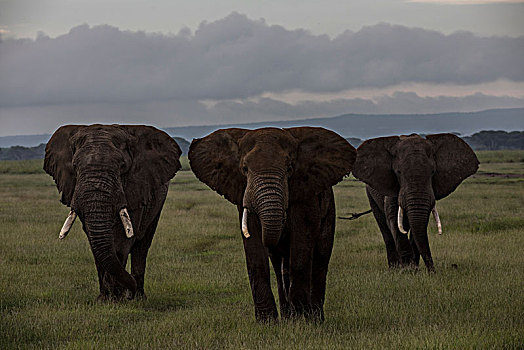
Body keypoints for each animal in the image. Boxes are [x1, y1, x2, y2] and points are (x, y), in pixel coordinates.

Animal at [43, 124, 182, 300]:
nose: (129, 292)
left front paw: (117, 299)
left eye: (122, 167)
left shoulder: (137, 188)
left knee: (142, 246)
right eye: (75, 167)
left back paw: (138, 297)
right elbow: (94, 241)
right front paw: (104, 299)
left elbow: (123, 241)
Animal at [188, 127, 356, 322]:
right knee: (278, 266)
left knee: (320, 258)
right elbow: (255, 252)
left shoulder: (306, 194)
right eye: (244, 169)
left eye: (289, 168)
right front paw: (267, 322)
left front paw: (301, 321)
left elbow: (301, 246)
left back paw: (315, 318)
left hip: (329, 212)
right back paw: (288, 316)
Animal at [352, 133, 478, 272]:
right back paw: (394, 268)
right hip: (371, 196)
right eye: (398, 172)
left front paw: (414, 269)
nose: (432, 271)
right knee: (385, 229)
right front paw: (408, 270)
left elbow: (419, 224)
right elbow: (394, 220)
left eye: (433, 172)